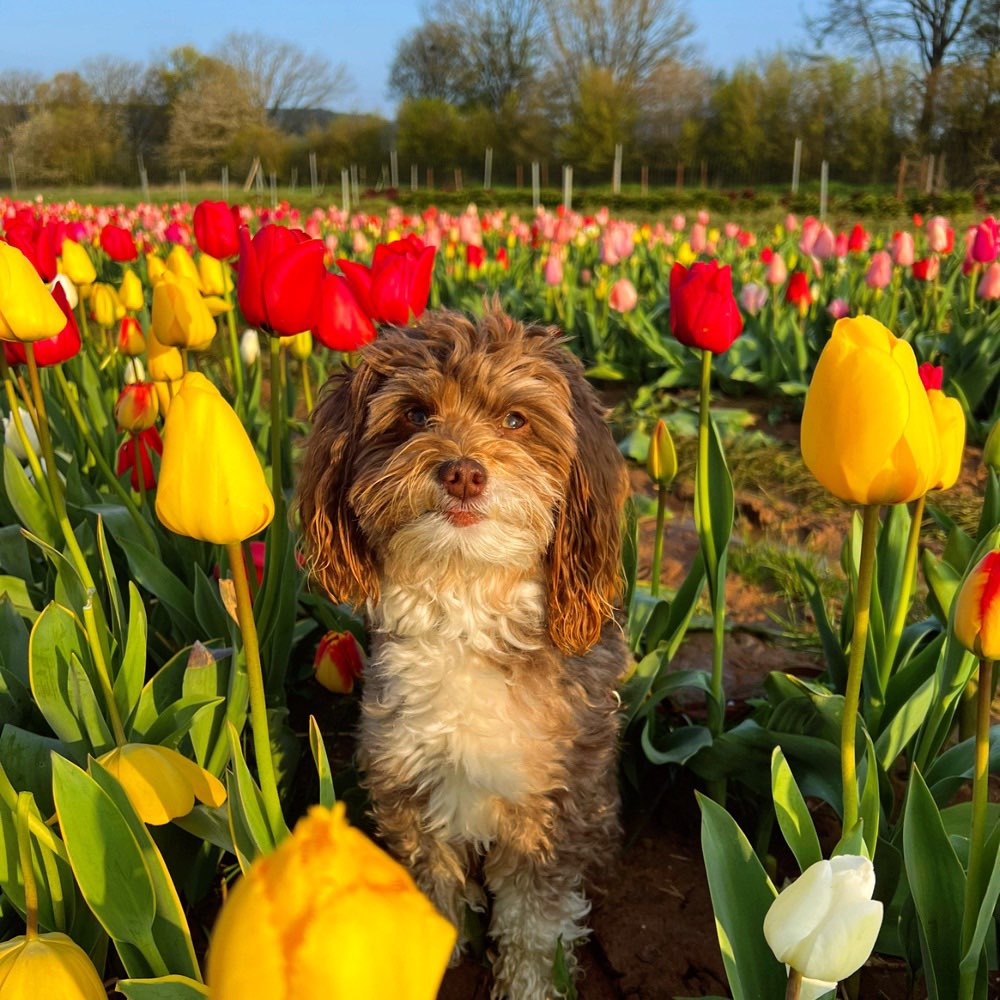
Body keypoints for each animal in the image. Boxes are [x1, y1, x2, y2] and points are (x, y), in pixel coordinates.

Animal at [296, 306, 628, 1000]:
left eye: (515, 420)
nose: (464, 472)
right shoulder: (408, 785)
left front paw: (530, 985)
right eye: (415, 413)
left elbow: (534, 920)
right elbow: (431, 882)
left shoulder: (553, 804)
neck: (466, 605)